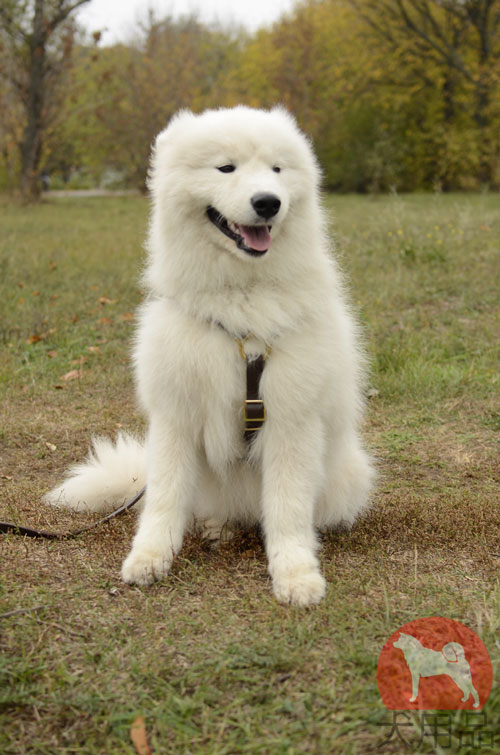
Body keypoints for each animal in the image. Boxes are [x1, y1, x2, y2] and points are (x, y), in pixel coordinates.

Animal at [46, 106, 376, 604]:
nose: (268, 203)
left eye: (277, 170)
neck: (242, 303)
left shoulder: (292, 422)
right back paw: (217, 526)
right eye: (226, 168)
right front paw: (150, 558)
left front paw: (295, 573)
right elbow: (164, 500)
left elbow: (287, 509)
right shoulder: (176, 417)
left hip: (345, 472)